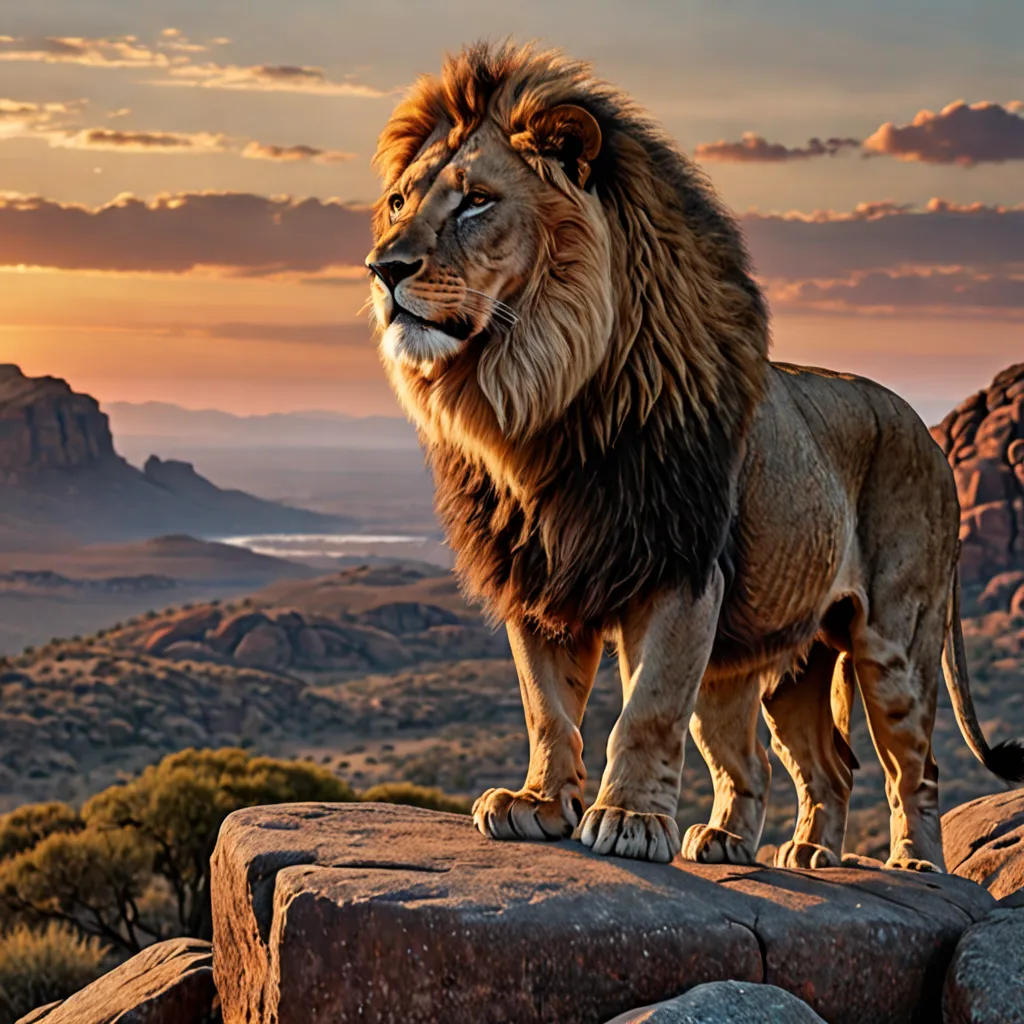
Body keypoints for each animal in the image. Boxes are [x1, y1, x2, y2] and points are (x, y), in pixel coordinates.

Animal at [365, 41, 1024, 870]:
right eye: (398, 203)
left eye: (477, 201)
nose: (383, 269)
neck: (538, 402)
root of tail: (930, 436)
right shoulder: (537, 576)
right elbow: (547, 706)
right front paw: (538, 804)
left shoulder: (680, 564)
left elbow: (645, 708)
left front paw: (626, 820)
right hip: (777, 661)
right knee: (809, 765)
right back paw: (768, 847)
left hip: (896, 643)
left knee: (915, 765)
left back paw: (912, 863)